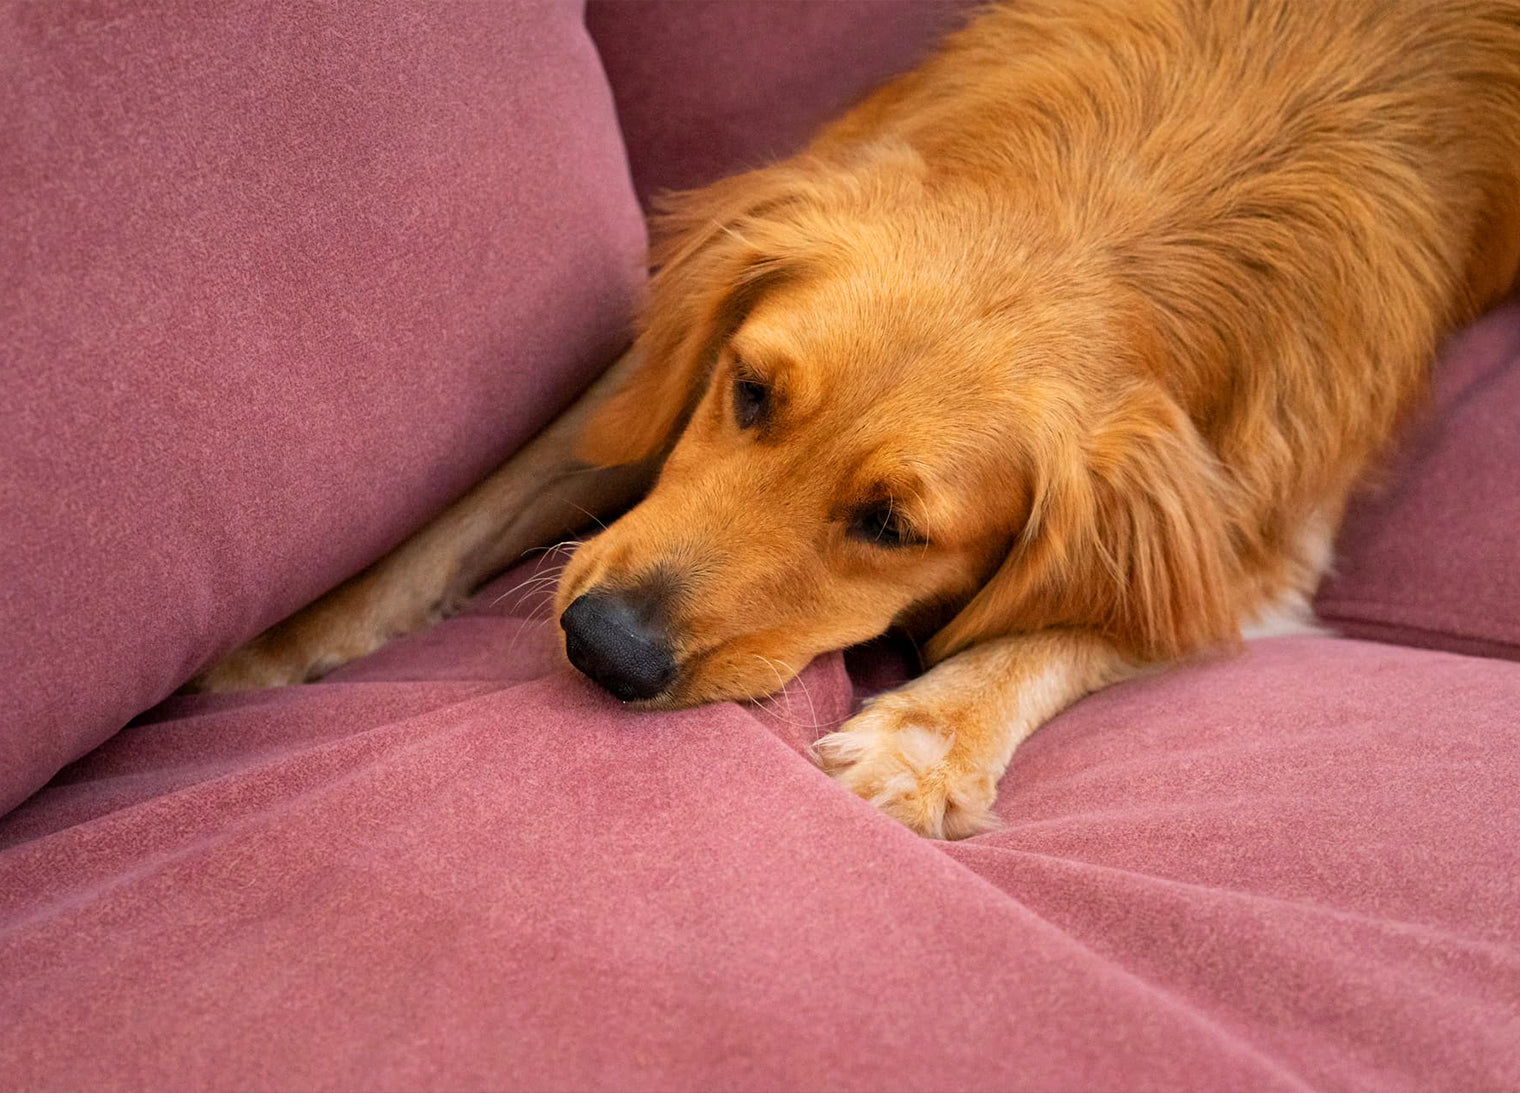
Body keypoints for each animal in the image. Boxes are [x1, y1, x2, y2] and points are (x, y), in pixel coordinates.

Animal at [196, 0, 1520, 839]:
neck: (1115, 211)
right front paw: (280, 645)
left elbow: (1076, 626)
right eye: (746, 392)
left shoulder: (1262, 547)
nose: (603, 646)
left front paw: (926, 739)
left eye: (891, 526)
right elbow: (470, 514)